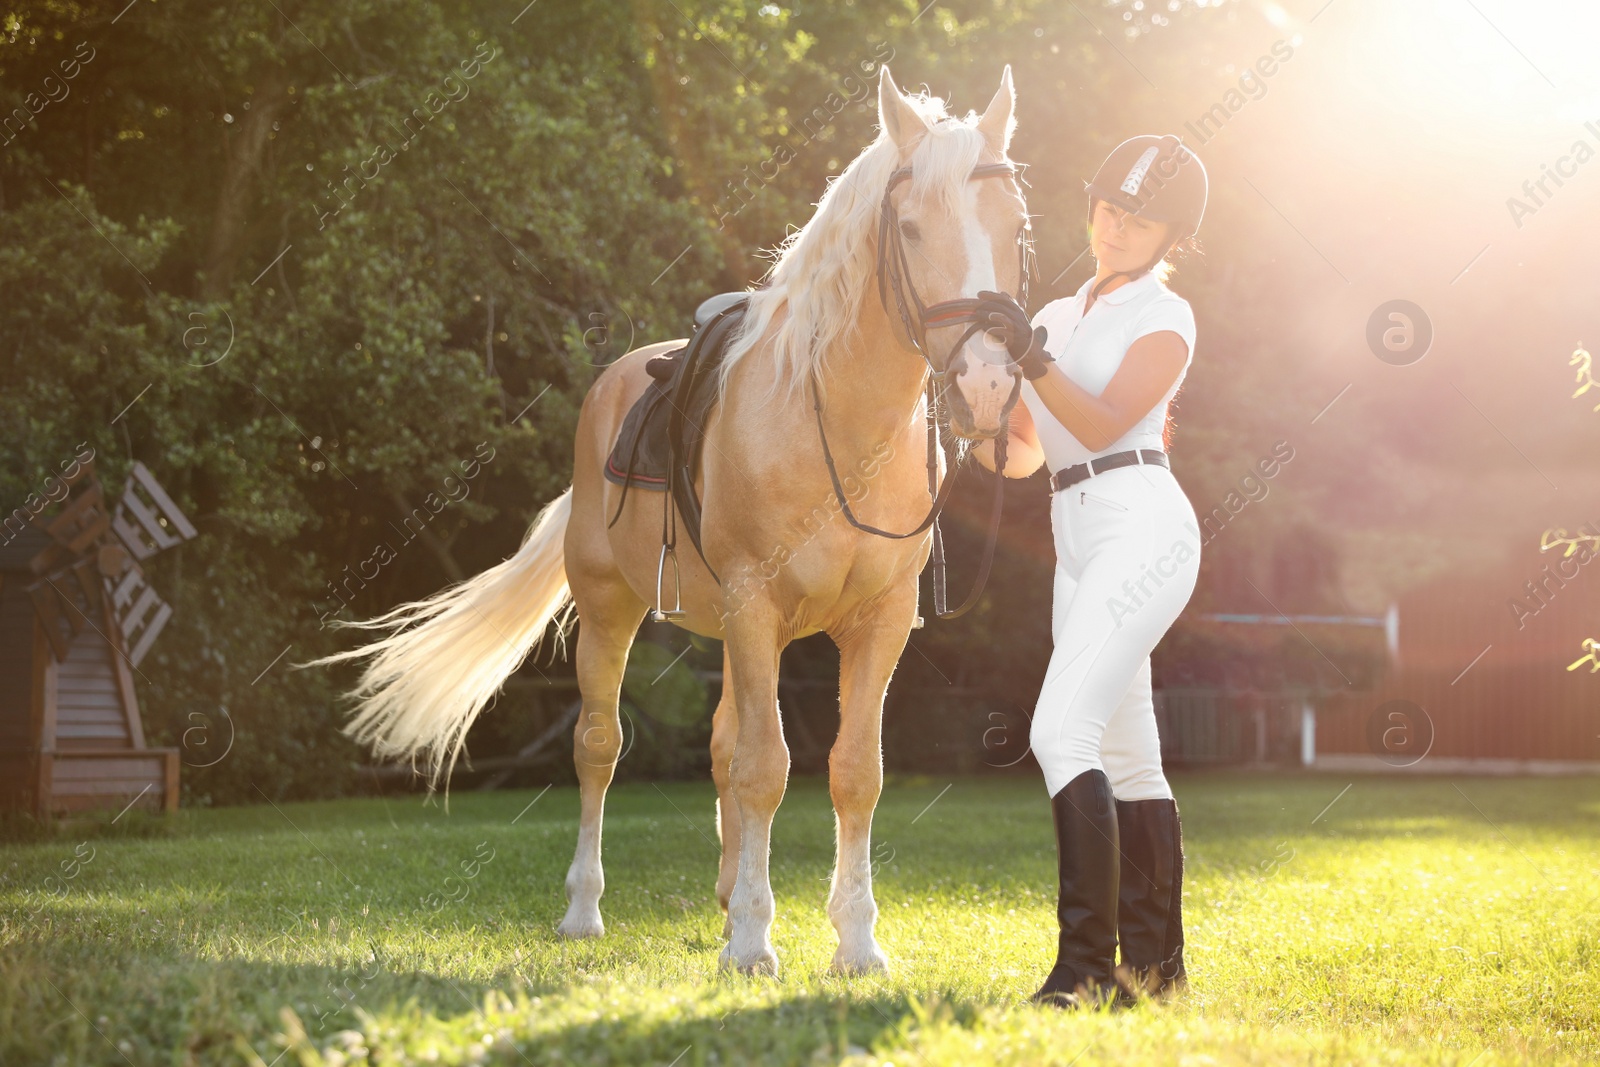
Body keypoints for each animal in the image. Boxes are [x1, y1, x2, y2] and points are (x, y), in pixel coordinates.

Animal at [318, 66, 1030, 979]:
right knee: (599, 746)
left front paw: (854, 941)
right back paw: (585, 911)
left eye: (1016, 227)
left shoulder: (879, 620)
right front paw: (755, 943)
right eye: (908, 229)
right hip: (608, 613)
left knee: (722, 744)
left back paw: (723, 902)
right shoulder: (756, 606)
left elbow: (852, 771)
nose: (986, 384)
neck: (833, 425)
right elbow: (766, 767)